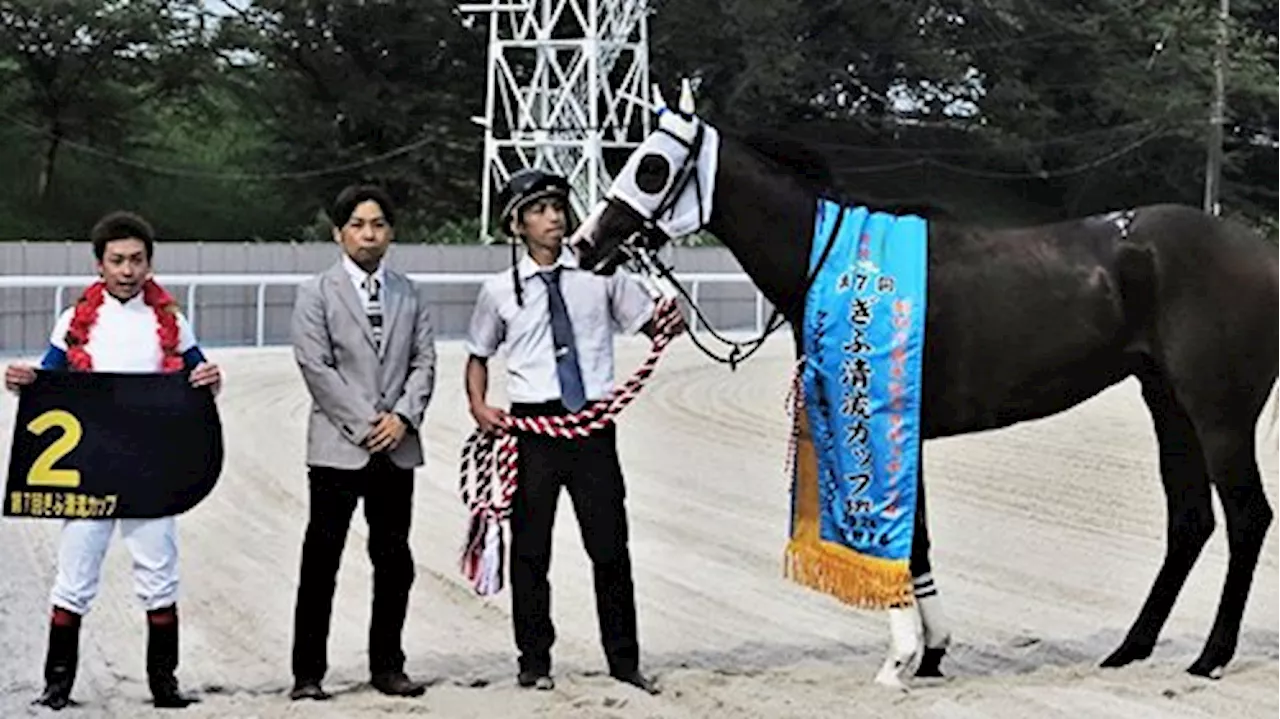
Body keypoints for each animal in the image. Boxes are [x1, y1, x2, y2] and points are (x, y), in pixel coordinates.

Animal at [573, 79, 1280, 690]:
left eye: (651, 167)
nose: (585, 243)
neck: (840, 264)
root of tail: (1260, 252)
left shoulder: (883, 422)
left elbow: (900, 537)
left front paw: (902, 659)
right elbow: (918, 542)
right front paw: (933, 651)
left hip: (1219, 415)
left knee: (1247, 517)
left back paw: (1212, 656)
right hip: (1169, 405)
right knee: (1189, 520)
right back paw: (1130, 649)